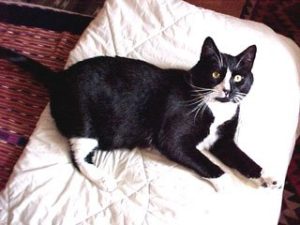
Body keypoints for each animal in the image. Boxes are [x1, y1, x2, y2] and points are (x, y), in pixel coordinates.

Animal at [0, 37, 278, 191]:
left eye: (239, 78)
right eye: (215, 74)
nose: (228, 91)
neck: (215, 107)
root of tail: (60, 77)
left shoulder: (223, 140)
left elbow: (242, 158)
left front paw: (267, 177)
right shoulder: (173, 139)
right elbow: (205, 162)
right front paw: (227, 184)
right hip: (85, 119)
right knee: (78, 154)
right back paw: (103, 179)